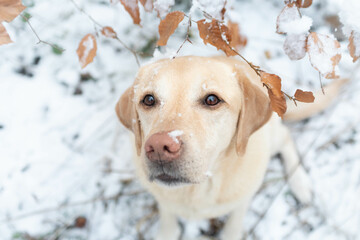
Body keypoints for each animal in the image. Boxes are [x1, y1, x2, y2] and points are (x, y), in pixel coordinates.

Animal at [114, 56, 344, 240]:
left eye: (212, 99)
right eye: (148, 99)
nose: (160, 146)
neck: (199, 190)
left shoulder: (242, 201)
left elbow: (232, 228)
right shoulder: (164, 203)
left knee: (287, 138)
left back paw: (300, 183)